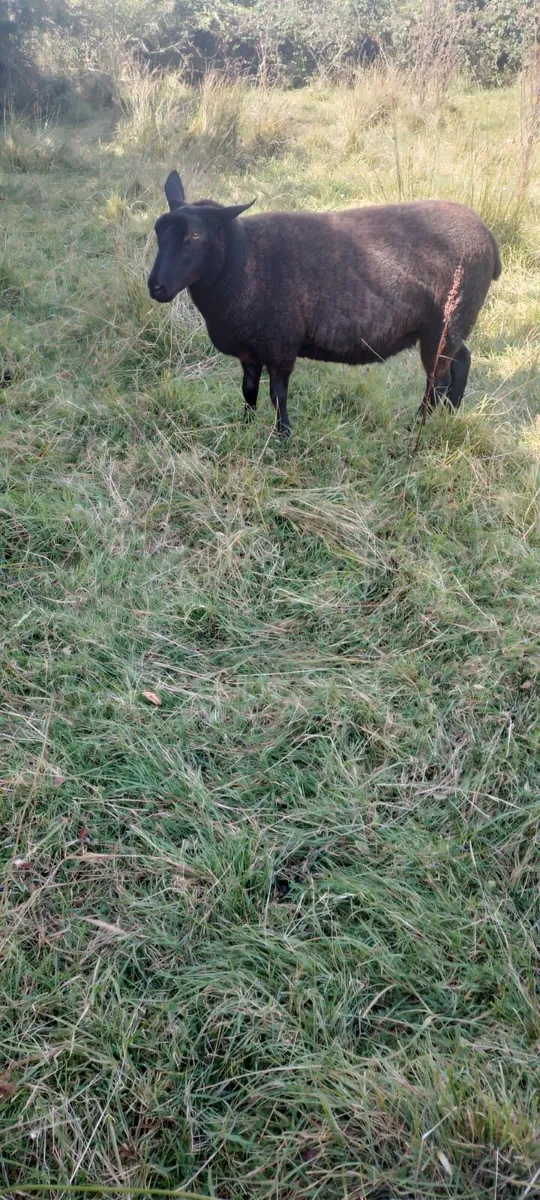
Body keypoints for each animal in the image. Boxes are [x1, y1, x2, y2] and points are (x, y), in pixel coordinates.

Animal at [148, 170, 501, 436]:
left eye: (195, 236)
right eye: (158, 231)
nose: (156, 286)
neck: (242, 261)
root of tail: (488, 236)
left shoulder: (281, 345)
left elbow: (278, 395)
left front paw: (283, 436)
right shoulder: (249, 350)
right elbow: (249, 391)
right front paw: (244, 427)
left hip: (445, 323)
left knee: (437, 380)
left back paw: (419, 426)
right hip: (453, 325)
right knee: (462, 362)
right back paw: (449, 417)